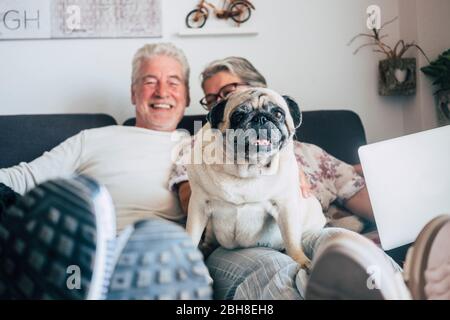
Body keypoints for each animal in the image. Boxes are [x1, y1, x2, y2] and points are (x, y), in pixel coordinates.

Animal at [185, 87, 326, 268]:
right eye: (238, 116)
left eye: (278, 114)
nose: (261, 118)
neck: (247, 169)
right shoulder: (199, 205)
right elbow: (192, 233)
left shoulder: (285, 207)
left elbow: (291, 239)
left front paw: (301, 260)